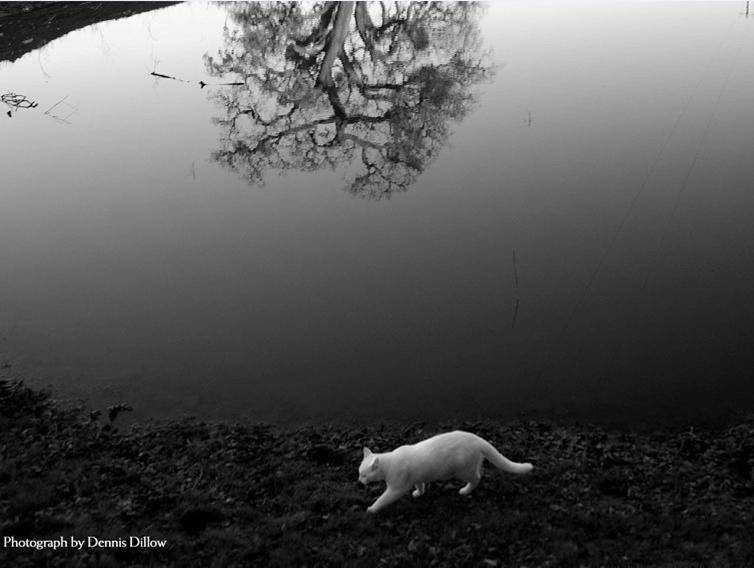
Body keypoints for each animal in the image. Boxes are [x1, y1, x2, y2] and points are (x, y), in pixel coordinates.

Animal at [358, 430, 533, 513]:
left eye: (364, 474)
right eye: (359, 473)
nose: (359, 481)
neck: (389, 462)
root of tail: (476, 438)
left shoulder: (396, 489)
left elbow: (382, 499)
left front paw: (372, 509)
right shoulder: (417, 477)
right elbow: (420, 485)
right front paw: (419, 493)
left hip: (463, 471)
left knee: (477, 477)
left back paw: (465, 491)